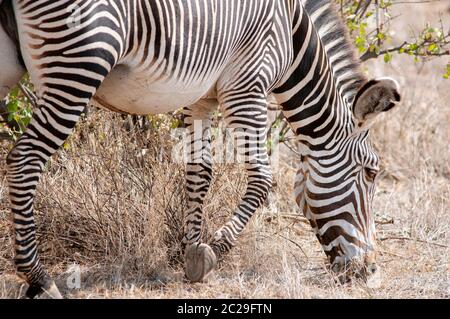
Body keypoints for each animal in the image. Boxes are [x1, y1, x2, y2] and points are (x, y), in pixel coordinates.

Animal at [0, 0, 400, 300]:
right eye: (371, 173)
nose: (370, 270)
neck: (292, 34)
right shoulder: (248, 86)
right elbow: (263, 180)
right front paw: (213, 251)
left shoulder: (201, 97)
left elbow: (200, 171)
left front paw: (191, 253)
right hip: (80, 59)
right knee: (24, 158)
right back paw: (39, 278)